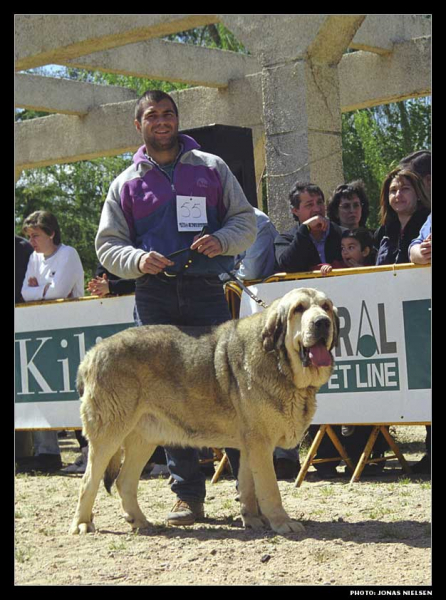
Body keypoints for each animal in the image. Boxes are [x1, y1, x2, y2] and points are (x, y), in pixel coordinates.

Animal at [69, 288, 338, 536]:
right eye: (298, 309)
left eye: (325, 306)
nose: (322, 322)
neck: (279, 362)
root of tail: (90, 354)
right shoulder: (261, 445)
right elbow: (270, 489)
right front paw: (281, 522)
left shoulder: (249, 446)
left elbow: (248, 486)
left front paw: (252, 519)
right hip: (108, 436)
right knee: (88, 481)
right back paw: (82, 523)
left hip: (143, 439)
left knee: (124, 481)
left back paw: (140, 521)